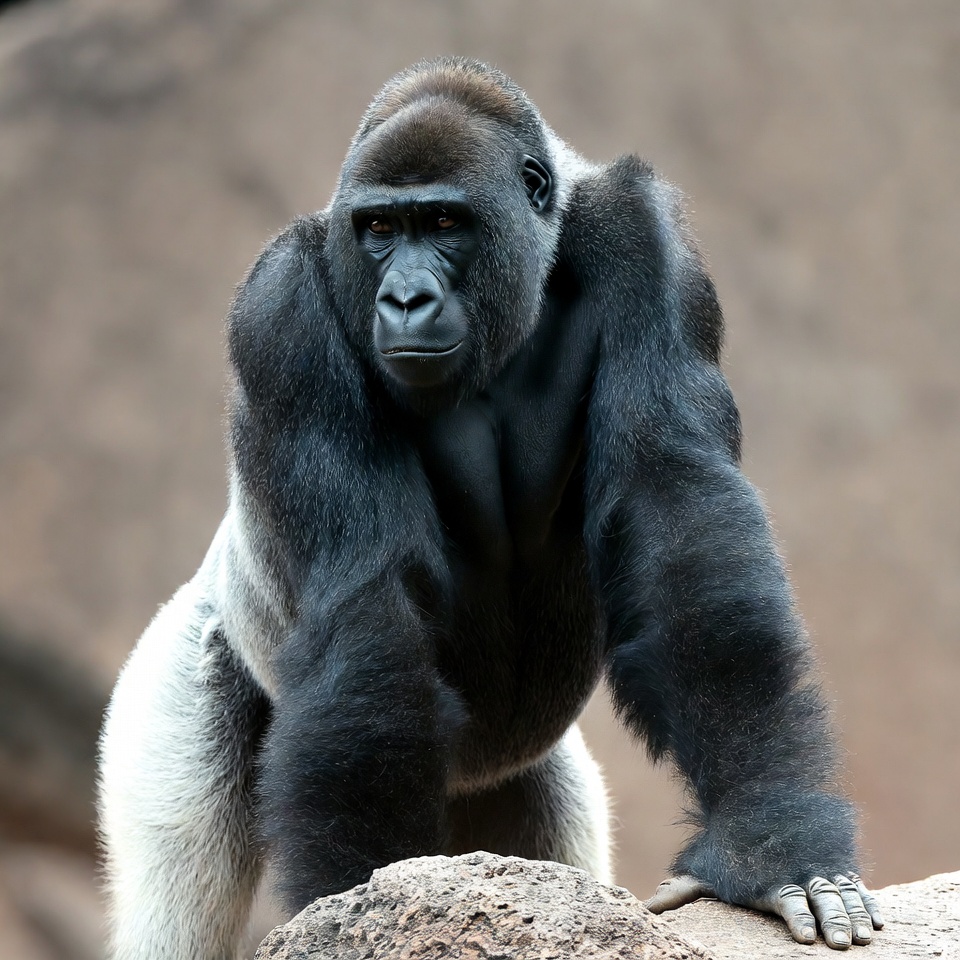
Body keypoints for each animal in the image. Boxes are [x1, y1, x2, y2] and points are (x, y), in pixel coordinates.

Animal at [98, 58, 882, 958]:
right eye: (378, 228)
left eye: (444, 222)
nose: (403, 299)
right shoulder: (281, 313)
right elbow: (367, 596)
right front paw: (356, 907)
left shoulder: (647, 244)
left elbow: (679, 510)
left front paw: (772, 843)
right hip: (184, 666)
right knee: (178, 885)